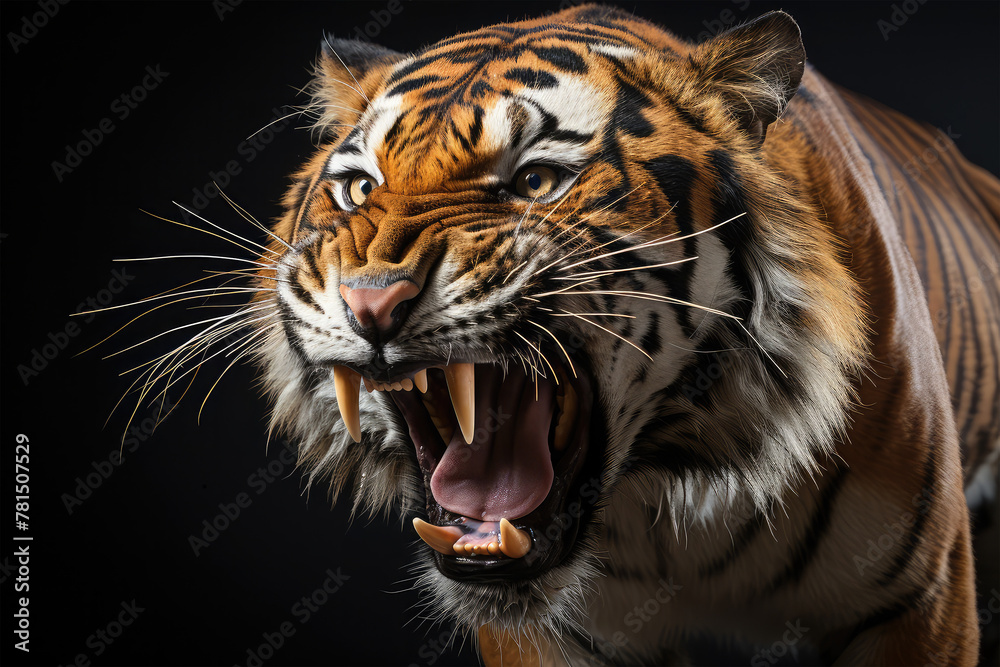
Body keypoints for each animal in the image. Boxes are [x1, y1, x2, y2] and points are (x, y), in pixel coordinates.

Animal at [241, 4, 1000, 665]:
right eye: (359, 189)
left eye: (536, 180)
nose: (371, 301)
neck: (674, 478)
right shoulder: (554, 632)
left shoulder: (918, 600)